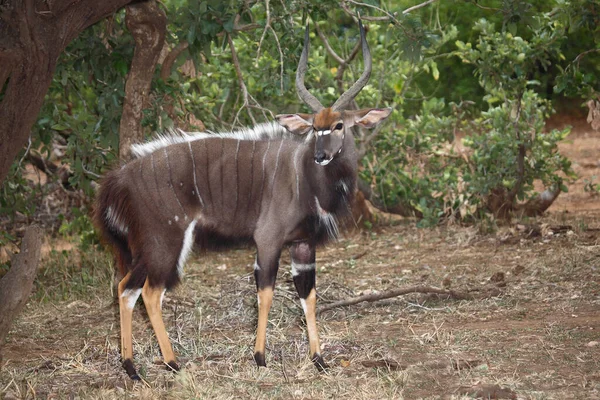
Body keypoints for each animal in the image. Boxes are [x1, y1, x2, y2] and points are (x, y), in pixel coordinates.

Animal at [95, 19, 390, 382]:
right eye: (313, 127)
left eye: (338, 125)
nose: (321, 155)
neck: (307, 178)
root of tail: (120, 178)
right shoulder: (268, 239)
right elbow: (265, 292)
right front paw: (260, 357)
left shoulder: (303, 244)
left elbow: (308, 294)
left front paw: (319, 359)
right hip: (165, 242)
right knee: (149, 292)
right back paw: (172, 362)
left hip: (146, 248)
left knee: (126, 288)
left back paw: (132, 368)